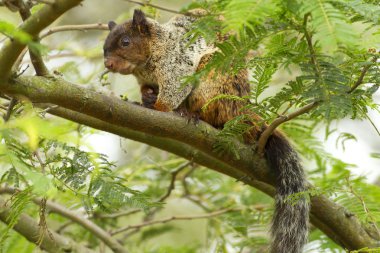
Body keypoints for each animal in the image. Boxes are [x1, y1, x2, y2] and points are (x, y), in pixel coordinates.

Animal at [103, 9, 308, 253]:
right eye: (104, 46)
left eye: (125, 42)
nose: (107, 64)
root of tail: (240, 110)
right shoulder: (144, 80)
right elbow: (146, 89)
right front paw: (144, 98)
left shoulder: (176, 67)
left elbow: (173, 92)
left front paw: (158, 107)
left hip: (213, 77)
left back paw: (191, 114)